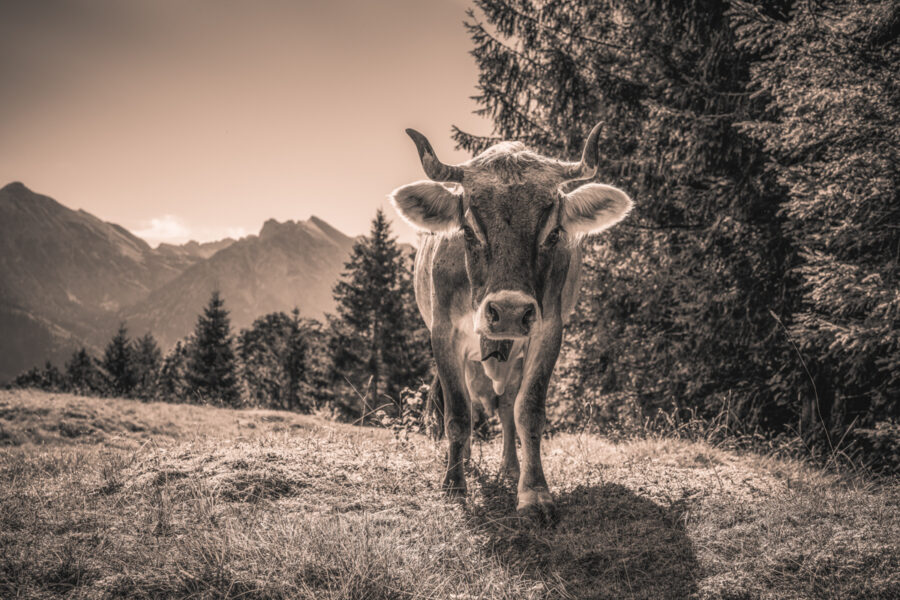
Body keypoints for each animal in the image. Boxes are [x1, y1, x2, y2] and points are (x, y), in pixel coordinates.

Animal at [388, 124, 632, 524]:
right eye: (468, 231)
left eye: (553, 233)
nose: (510, 312)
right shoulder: (443, 332)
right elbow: (458, 413)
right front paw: (454, 485)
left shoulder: (549, 330)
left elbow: (527, 411)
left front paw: (533, 493)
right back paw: (466, 462)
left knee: (505, 407)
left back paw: (510, 468)